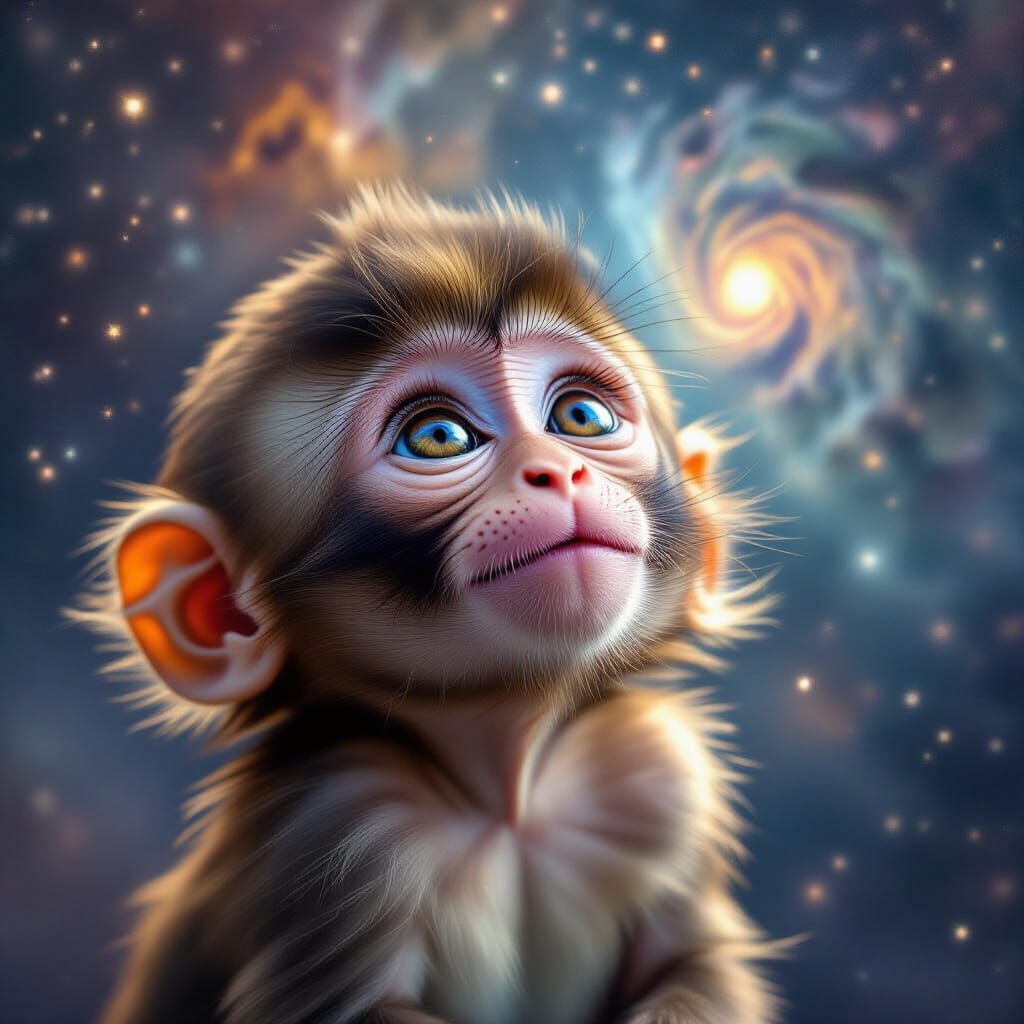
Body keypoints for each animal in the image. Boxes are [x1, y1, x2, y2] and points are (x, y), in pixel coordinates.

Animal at [72, 185, 782, 1024]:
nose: (557, 471)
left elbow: (696, 960)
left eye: (581, 417)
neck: (505, 797)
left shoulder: (657, 771)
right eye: (437, 435)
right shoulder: (338, 829)